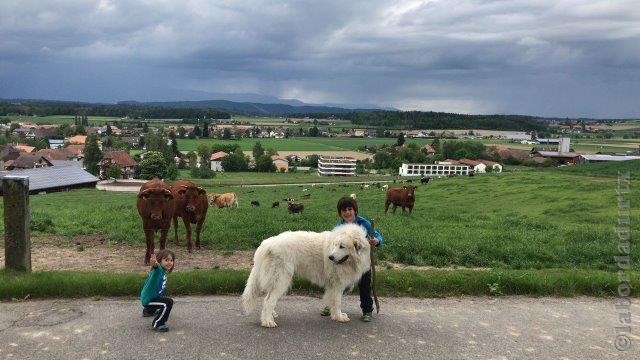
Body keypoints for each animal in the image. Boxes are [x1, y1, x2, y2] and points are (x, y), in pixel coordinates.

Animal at [240, 224, 370, 328]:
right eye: (335, 245)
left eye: (342, 246)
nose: (330, 257)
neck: (351, 261)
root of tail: (266, 244)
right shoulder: (337, 284)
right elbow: (337, 302)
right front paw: (339, 317)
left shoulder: (333, 284)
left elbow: (332, 300)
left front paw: (333, 314)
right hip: (281, 280)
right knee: (269, 301)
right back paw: (267, 322)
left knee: (267, 298)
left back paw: (271, 315)